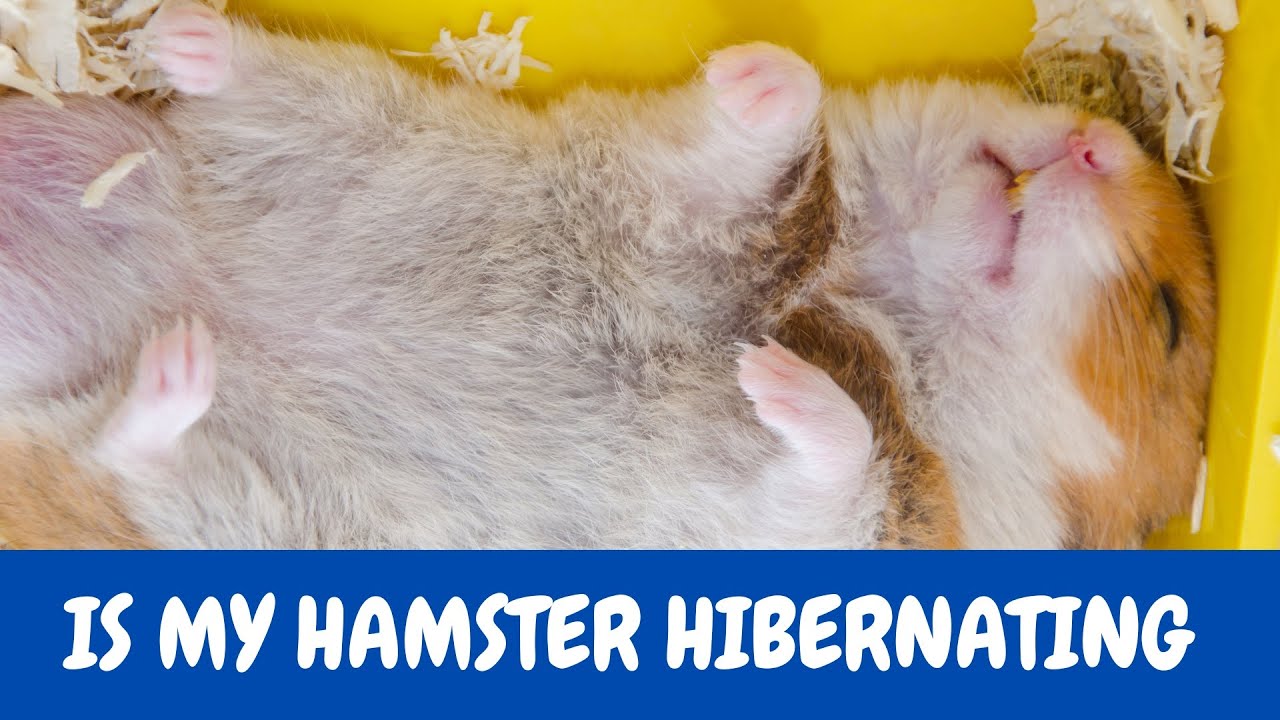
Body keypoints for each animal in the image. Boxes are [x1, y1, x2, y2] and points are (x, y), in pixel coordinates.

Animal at [0, 3, 1214, 549]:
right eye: (1085, 107)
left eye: (1164, 321)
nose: (1095, 144)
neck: (867, 304)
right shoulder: (686, 201)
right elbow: (777, 139)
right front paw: (759, 68)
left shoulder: (867, 531)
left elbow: (842, 455)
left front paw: (773, 381)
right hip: (336, 133)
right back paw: (181, 38)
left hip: (226, 511)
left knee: (121, 456)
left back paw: (179, 366)